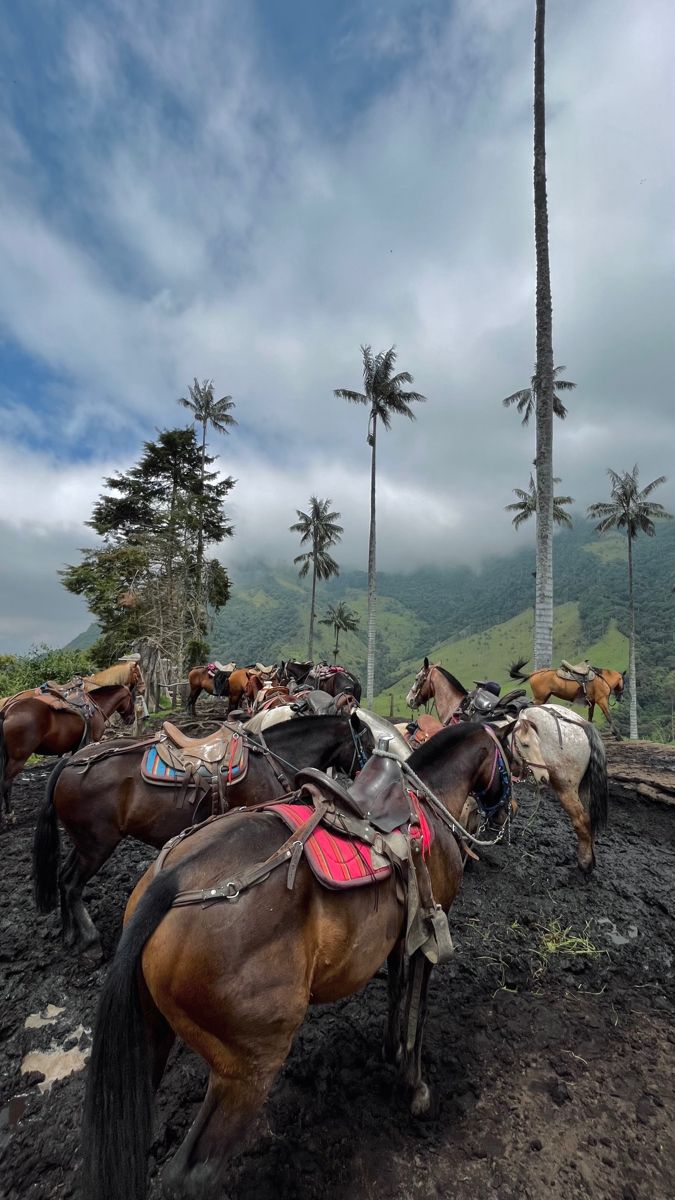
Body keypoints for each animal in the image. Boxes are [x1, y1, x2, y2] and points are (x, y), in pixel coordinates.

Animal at [0, 681, 138, 820]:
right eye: (132, 698)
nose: (131, 719)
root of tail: (7, 711)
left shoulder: (77, 748)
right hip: (18, 759)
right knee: (5, 783)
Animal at [32, 710, 372, 955]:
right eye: (368, 745)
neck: (272, 759)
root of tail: (71, 762)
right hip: (97, 844)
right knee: (72, 883)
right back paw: (89, 940)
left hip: (85, 842)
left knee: (63, 876)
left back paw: (70, 934)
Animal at [79, 720, 509, 1200]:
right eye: (509, 756)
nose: (504, 812)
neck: (429, 803)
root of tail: (168, 884)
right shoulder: (428, 936)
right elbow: (418, 1008)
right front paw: (415, 1087)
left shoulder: (401, 937)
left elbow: (398, 993)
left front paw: (389, 1051)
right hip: (248, 1068)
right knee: (192, 1173)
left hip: (151, 1037)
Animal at [403, 657, 610, 873]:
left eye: (418, 678)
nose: (410, 700)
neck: (459, 707)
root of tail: (583, 725)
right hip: (583, 787)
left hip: (565, 787)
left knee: (581, 820)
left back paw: (584, 863)